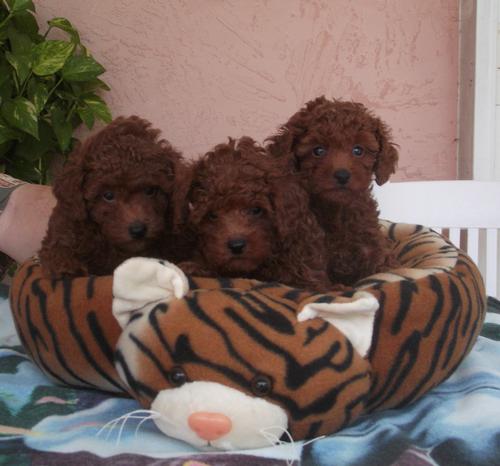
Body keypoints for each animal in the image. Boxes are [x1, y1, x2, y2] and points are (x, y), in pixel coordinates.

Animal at [38, 116, 184, 276]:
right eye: (108, 195)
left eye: (150, 190)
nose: (138, 230)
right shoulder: (65, 228)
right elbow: (58, 249)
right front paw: (67, 267)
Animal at [268, 96, 400, 286]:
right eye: (318, 150)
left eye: (358, 150)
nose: (342, 175)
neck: (338, 211)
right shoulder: (307, 258)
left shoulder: (372, 245)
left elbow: (383, 267)